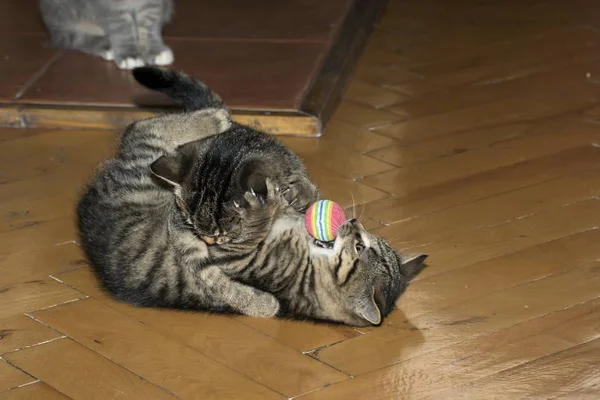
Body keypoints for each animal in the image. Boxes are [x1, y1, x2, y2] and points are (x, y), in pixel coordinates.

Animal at [39, 0, 173, 69]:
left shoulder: (153, 4)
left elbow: (149, 24)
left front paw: (155, 50)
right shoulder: (113, 6)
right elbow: (121, 27)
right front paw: (129, 55)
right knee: (74, 39)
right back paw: (107, 46)